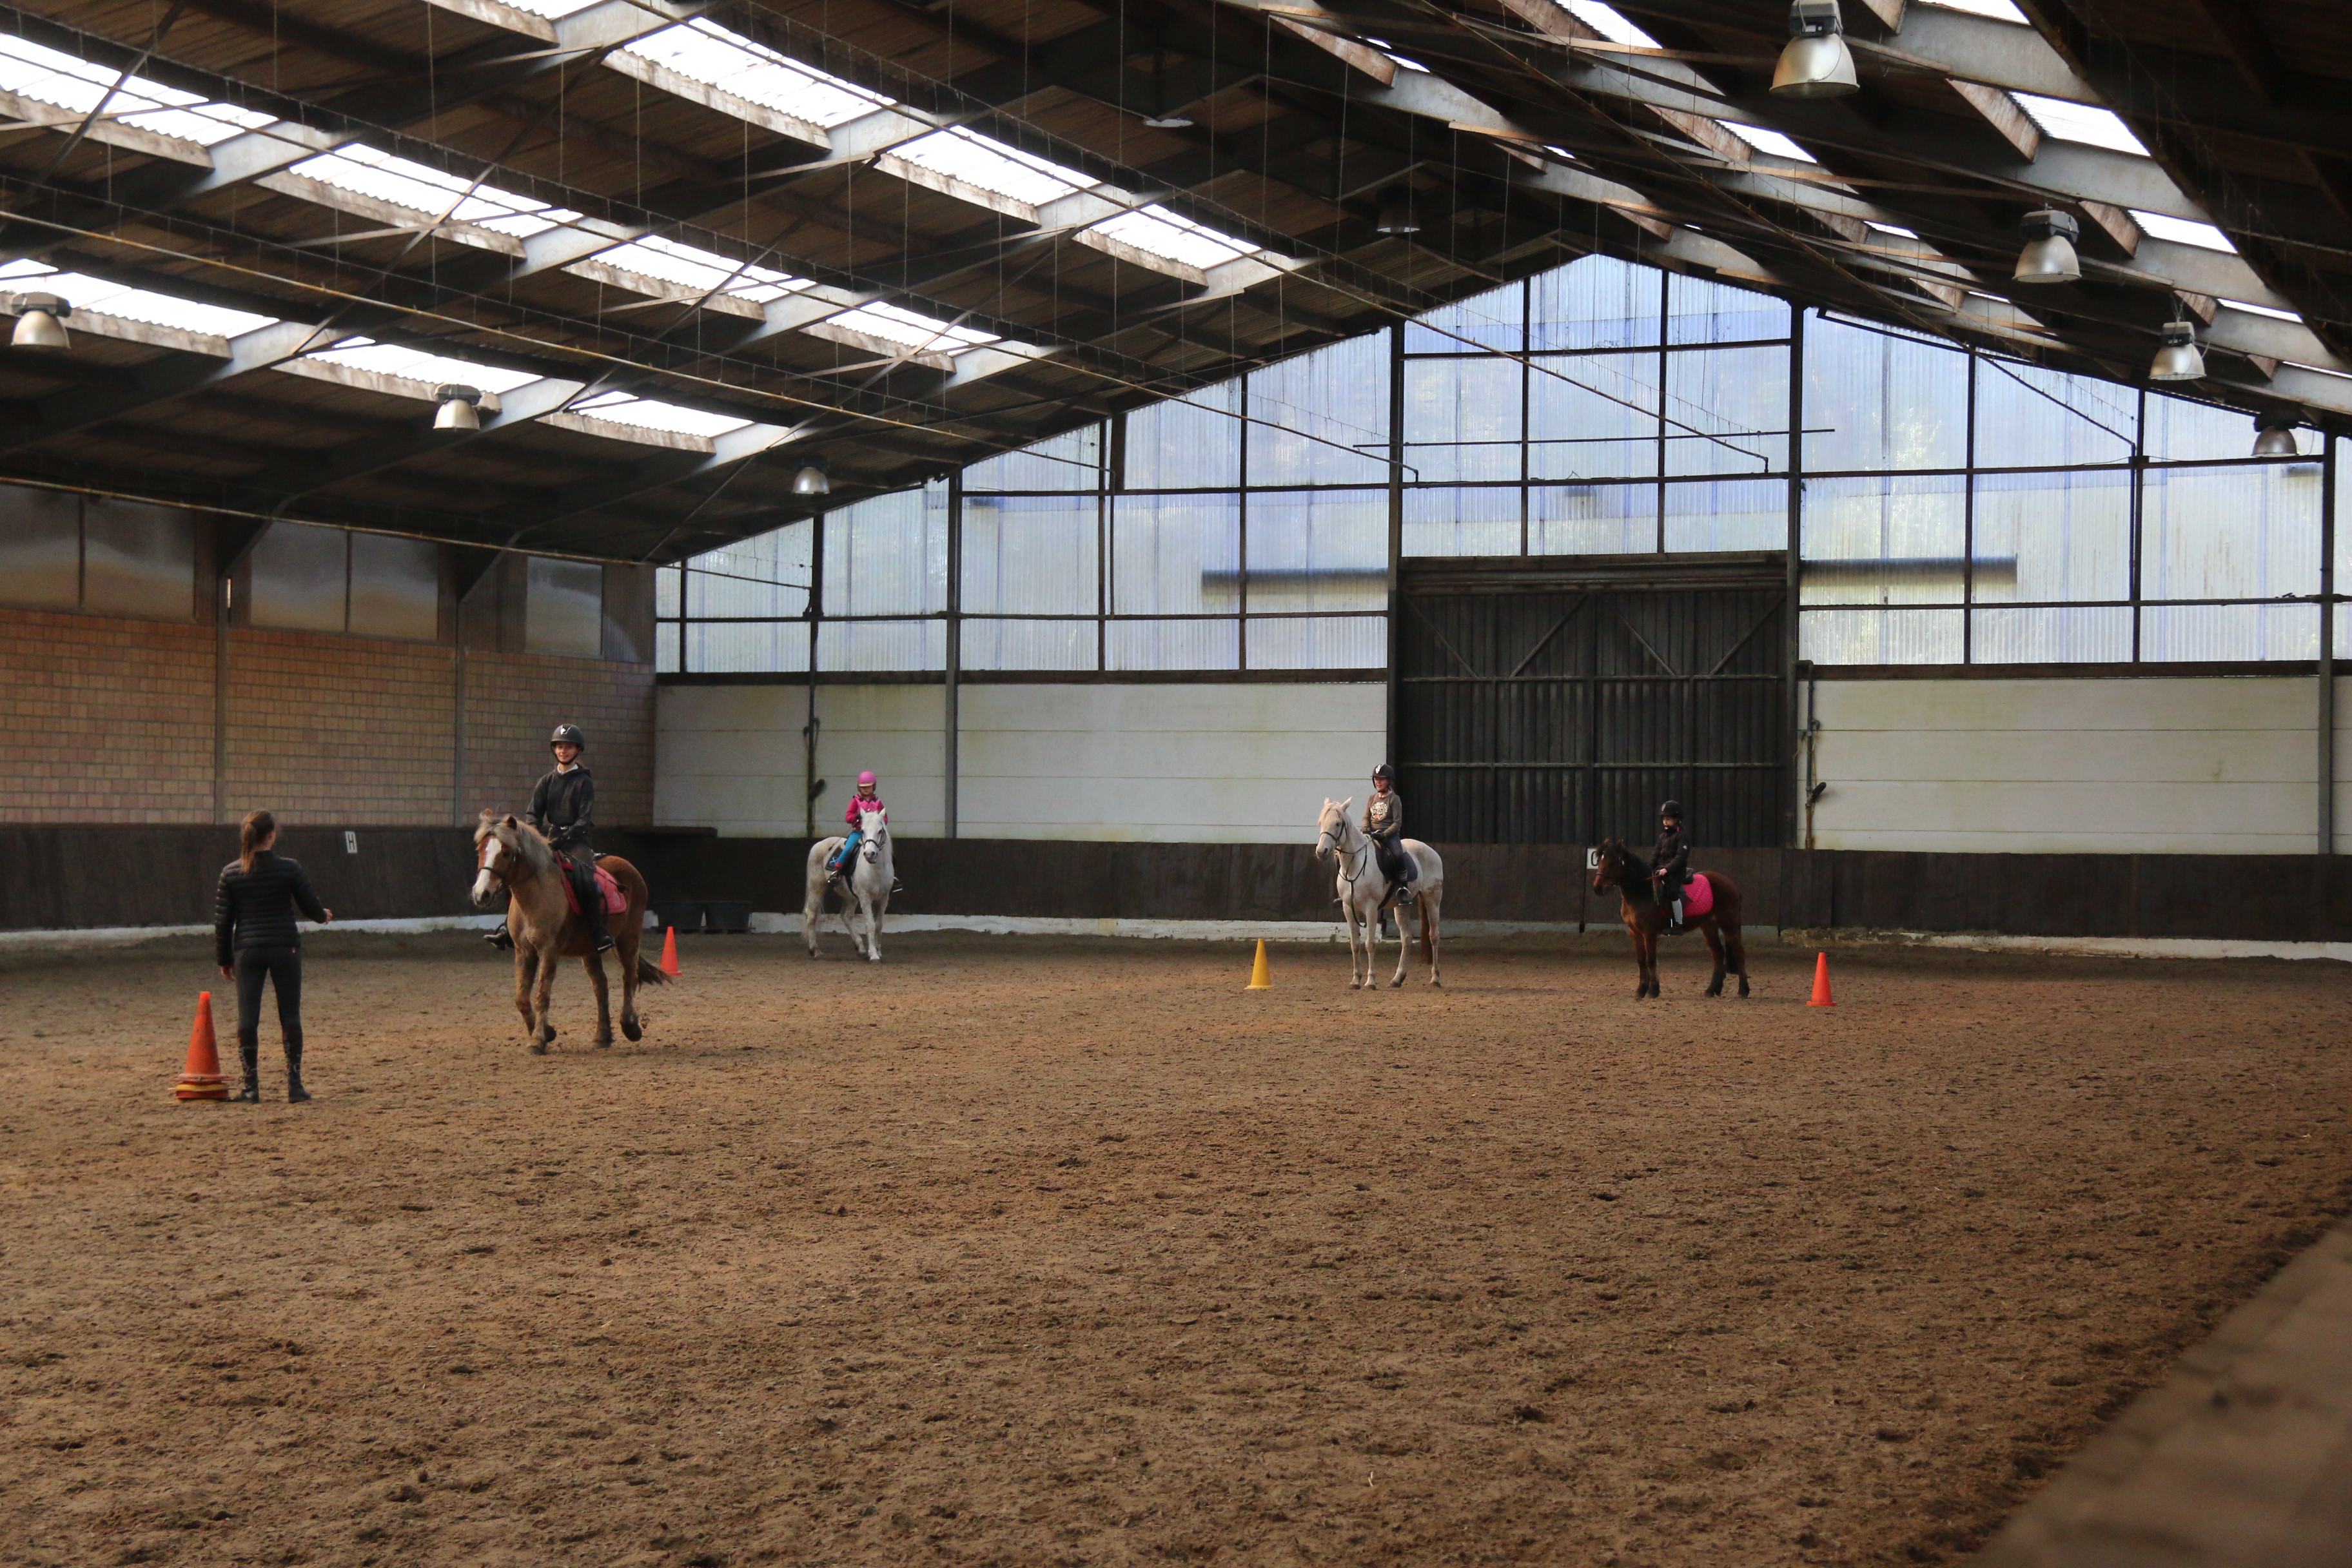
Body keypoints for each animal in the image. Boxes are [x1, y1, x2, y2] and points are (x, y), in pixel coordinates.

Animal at [473, 808, 668, 1053]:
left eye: (506, 853)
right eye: (481, 850)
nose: (481, 894)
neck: (537, 893)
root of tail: (627, 866)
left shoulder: (548, 950)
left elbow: (542, 995)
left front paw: (538, 1040)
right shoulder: (524, 950)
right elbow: (522, 998)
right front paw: (547, 1032)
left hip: (629, 937)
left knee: (629, 976)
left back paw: (631, 1028)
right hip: (590, 948)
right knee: (601, 985)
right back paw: (602, 1037)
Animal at [799, 818, 888, 963]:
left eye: (880, 831)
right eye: (863, 830)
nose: (870, 854)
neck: (875, 870)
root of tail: (818, 844)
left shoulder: (884, 898)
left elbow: (879, 924)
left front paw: (878, 952)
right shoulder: (865, 897)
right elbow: (870, 924)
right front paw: (874, 954)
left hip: (850, 896)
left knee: (846, 916)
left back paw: (860, 948)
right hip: (817, 887)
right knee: (811, 914)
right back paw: (815, 951)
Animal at [1317, 803, 1439, 987]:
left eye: (1338, 824)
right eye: (1321, 822)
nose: (1321, 851)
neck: (1354, 866)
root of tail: (1430, 850)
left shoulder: (1371, 908)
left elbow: (1370, 943)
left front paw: (1370, 981)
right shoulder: (1348, 908)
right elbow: (1355, 944)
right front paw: (1355, 980)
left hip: (1432, 899)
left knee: (1434, 936)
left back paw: (1436, 978)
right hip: (1401, 907)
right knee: (1407, 937)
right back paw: (1397, 979)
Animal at [1580, 841, 1750, 1001]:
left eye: (1612, 863)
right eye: (1599, 861)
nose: (1597, 889)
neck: (1642, 891)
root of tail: (1731, 883)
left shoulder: (1649, 933)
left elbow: (1651, 960)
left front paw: (1653, 991)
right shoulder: (1635, 932)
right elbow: (1641, 960)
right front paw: (1641, 990)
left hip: (1728, 922)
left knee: (1739, 952)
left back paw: (1743, 990)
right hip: (1709, 925)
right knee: (1718, 953)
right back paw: (1712, 989)